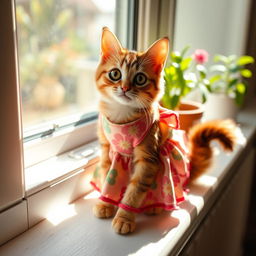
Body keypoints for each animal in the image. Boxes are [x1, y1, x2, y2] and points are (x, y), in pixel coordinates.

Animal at [90, 27, 236, 234]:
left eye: (140, 78)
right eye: (115, 74)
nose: (125, 88)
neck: (122, 114)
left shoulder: (148, 158)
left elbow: (135, 190)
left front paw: (124, 217)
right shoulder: (107, 149)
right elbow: (107, 176)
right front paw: (106, 203)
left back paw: (155, 207)